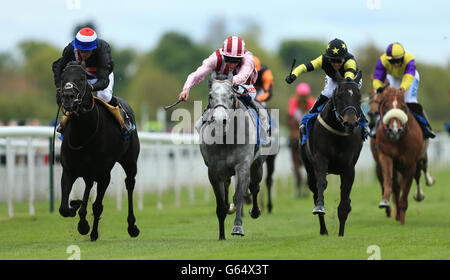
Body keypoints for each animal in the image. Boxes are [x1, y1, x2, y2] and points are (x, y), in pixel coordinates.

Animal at [58, 62, 140, 242]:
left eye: (82, 79)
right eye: (62, 78)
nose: (67, 97)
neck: (83, 134)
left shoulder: (104, 174)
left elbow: (97, 206)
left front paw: (89, 229)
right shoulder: (69, 170)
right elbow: (63, 208)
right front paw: (76, 207)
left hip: (130, 161)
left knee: (129, 184)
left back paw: (132, 226)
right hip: (89, 171)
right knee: (88, 186)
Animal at [199, 72, 266, 241]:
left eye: (231, 96)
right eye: (210, 96)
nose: (219, 120)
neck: (226, 139)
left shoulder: (242, 166)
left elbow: (239, 196)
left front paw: (237, 227)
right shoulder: (213, 171)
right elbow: (220, 203)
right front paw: (221, 235)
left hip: (257, 165)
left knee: (255, 187)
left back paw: (255, 211)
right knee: (228, 186)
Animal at [300, 70, 364, 236]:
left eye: (359, 96)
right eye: (339, 95)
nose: (350, 122)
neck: (338, 132)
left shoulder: (349, 168)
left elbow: (344, 199)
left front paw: (341, 234)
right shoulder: (320, 159)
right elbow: (322, 183)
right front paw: (320, 208)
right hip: (309, 169)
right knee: (315, 190)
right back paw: (323, 230)